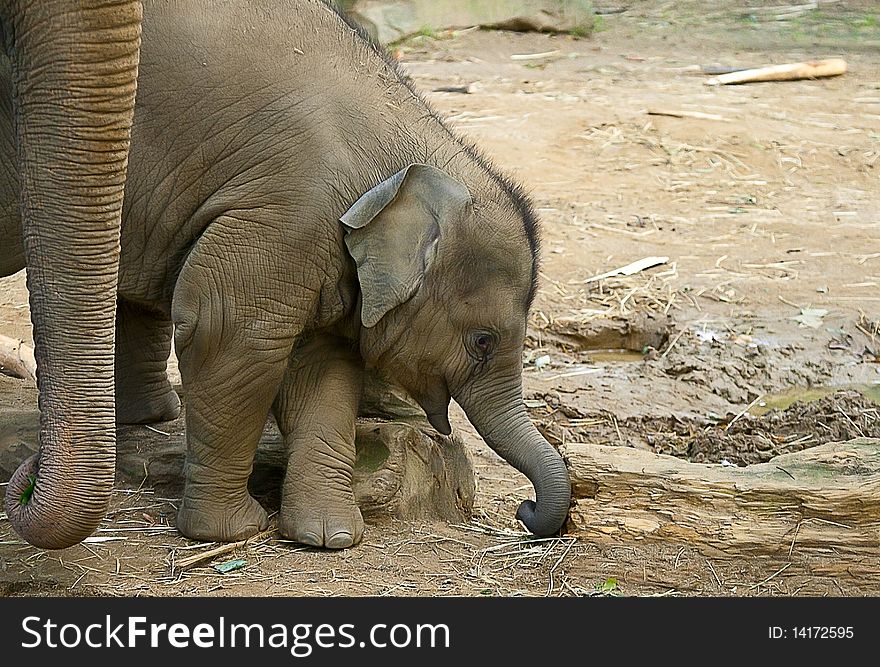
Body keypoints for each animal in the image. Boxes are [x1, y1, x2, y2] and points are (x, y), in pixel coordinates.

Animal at [0, 0, 572, 552]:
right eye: (482, 342)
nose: (525, 512)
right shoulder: (286, 216)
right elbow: (228, 334)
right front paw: (232, 534)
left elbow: (326, 364)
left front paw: (329, 538)